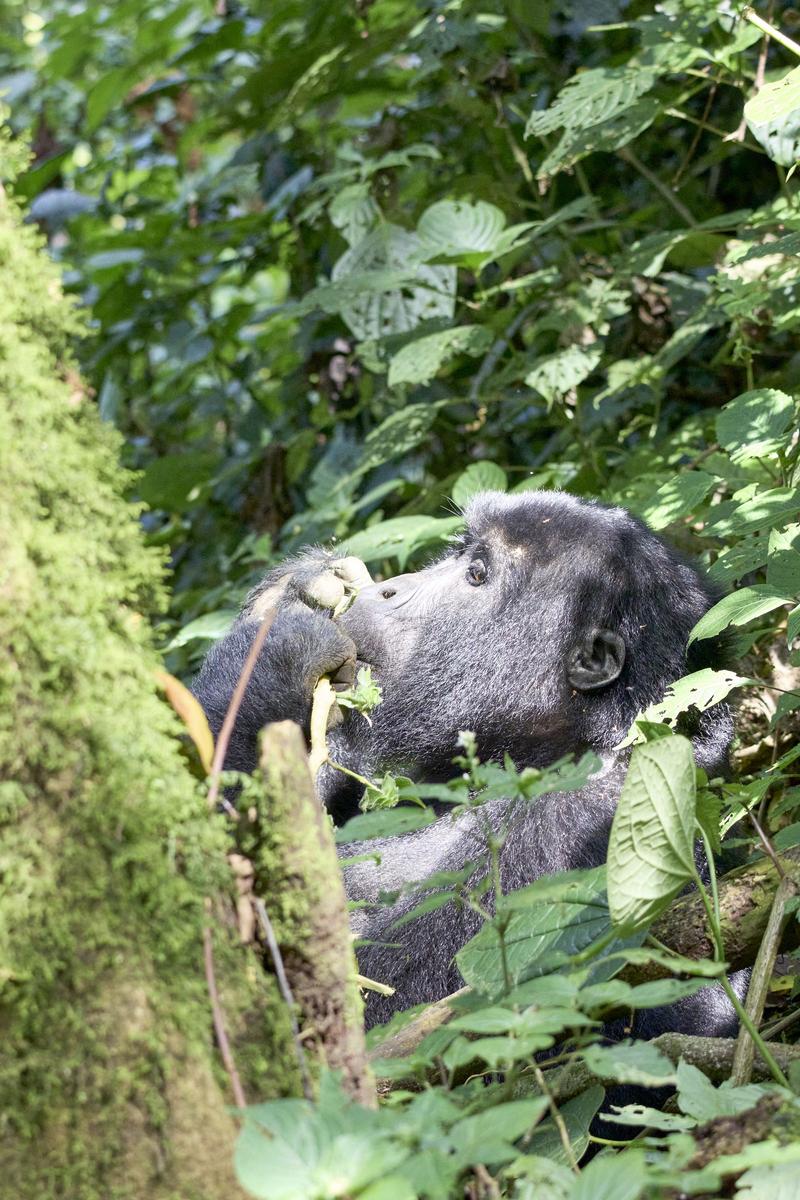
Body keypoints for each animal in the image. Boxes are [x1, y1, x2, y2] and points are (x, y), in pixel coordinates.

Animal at [194, 487, 738, 1032]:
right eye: (456, 553)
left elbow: (384, 1008)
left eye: (476, 573)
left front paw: (269, 659)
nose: (390, 588)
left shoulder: (591, 824)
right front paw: (294, 592)